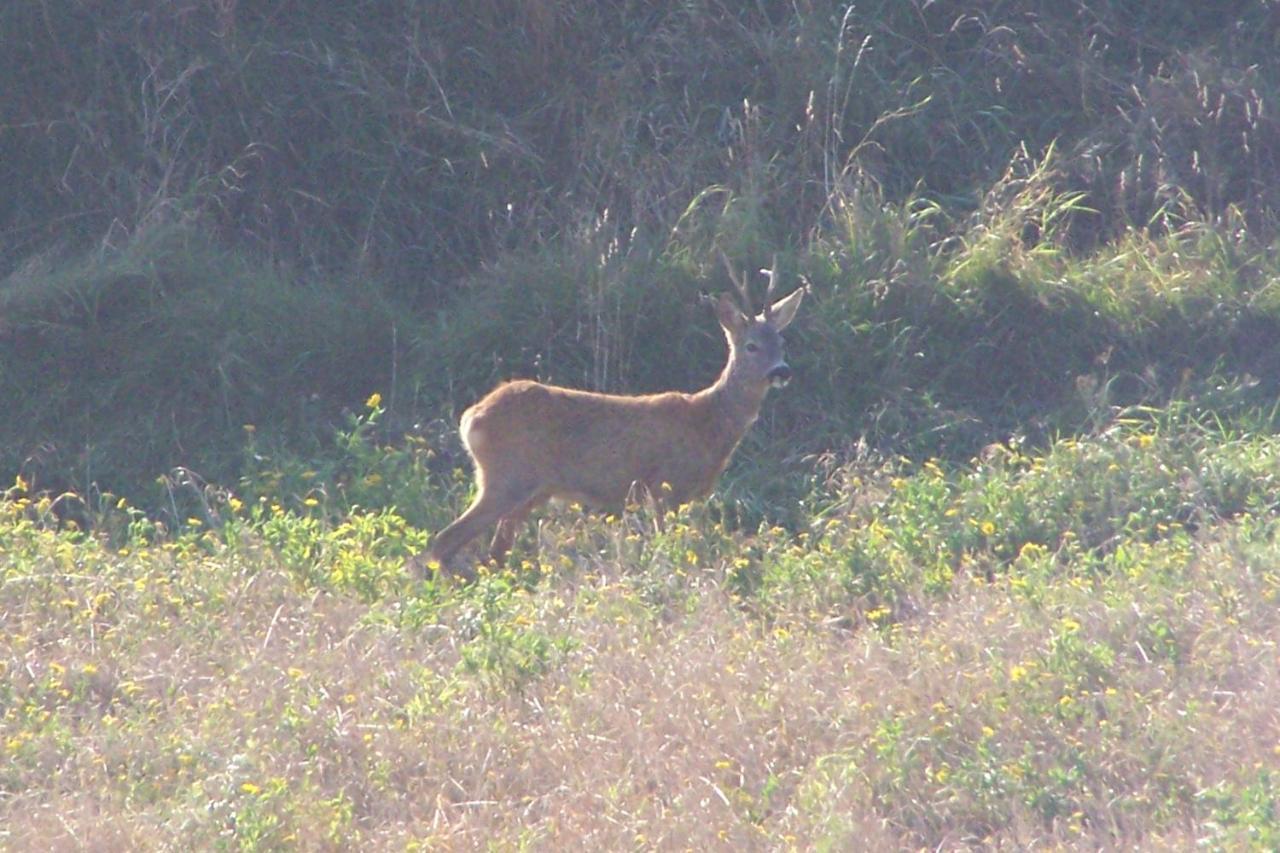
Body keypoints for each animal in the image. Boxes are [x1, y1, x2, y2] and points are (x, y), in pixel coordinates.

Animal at [409, 256, 803, 578]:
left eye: (782, 343)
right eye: (751, 346)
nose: (782, 371)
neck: (708, 422)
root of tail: (470, 418)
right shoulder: (664, 486)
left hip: (527, 490)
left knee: (492, 553)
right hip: (507, 478)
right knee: (444, 541)